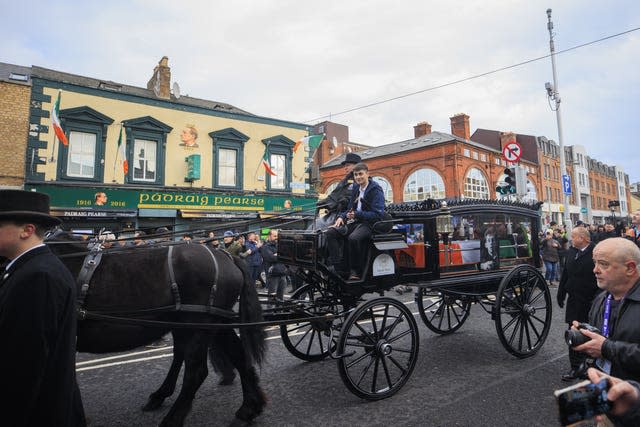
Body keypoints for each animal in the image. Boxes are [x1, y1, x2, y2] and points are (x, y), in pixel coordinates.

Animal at [47, 234, 266, 427]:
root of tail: (226, 255)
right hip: (213, 322)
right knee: (238, 356)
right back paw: (248, 409)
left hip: (199, 325)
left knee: (196, 372)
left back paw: (172, 419)